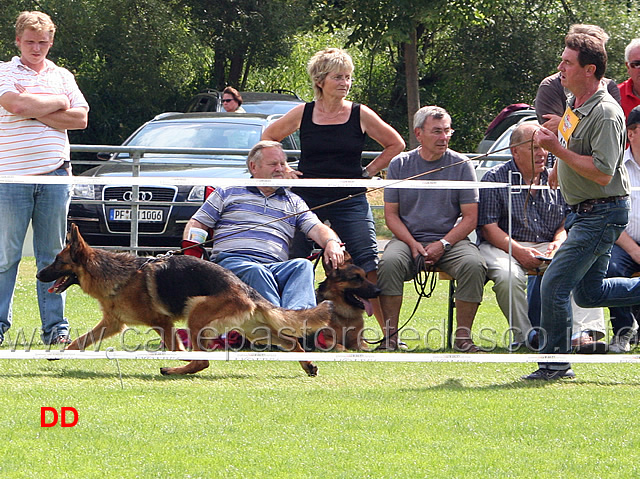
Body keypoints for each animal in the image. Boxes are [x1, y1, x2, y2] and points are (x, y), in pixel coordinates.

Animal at [36, 225, 336, 378]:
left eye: (57, 261)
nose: (39, 275)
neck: (115, 274)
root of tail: (246, 289)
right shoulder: (111, 324)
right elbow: (80, 340)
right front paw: (59, 352)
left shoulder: (163, 322)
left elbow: (176, 347)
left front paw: (177, 359)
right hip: (255, 331)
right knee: (291, 341)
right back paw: (308, 365)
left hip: (196, 315)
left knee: (202, 360)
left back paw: (173, 369)